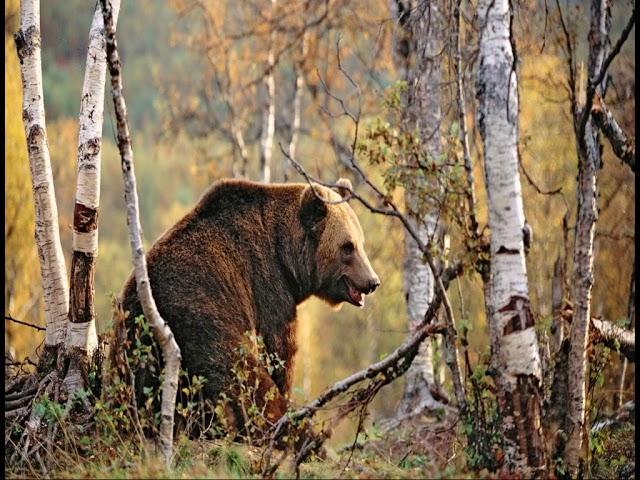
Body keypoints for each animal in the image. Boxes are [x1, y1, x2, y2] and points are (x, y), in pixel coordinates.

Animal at [119, 178, 380, 436]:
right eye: (347, 246)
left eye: (361, 242)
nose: (372, 282)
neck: (286, 256)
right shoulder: (267, 288)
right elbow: (279, 353)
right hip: (202, 324)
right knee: (245, 382)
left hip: (136, 345)